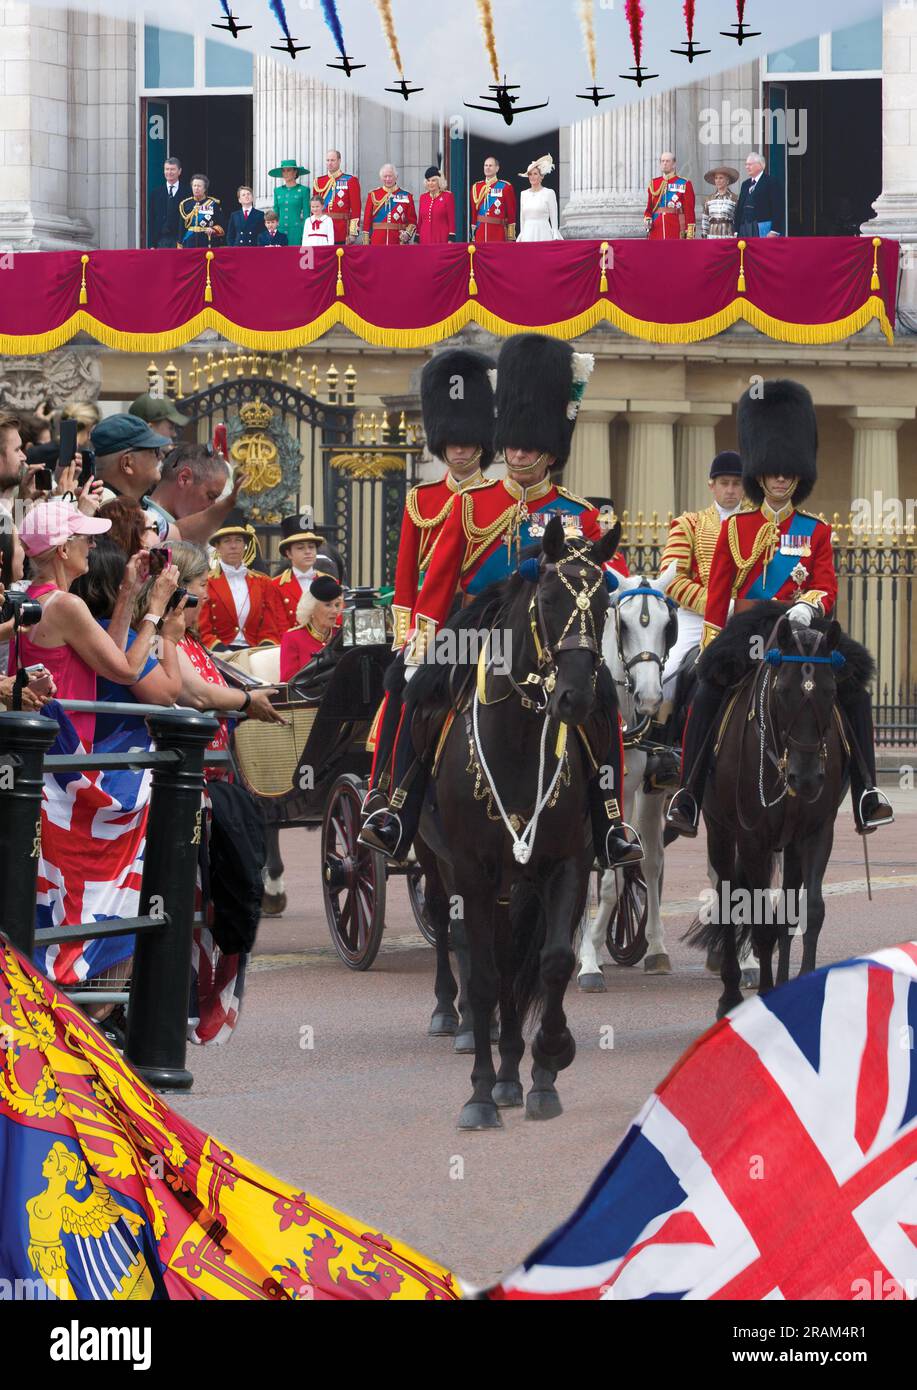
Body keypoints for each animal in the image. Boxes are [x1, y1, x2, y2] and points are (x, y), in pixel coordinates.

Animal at [405, 519, 616, 1128]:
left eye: (606, 604)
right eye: (547, 599)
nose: (575, 698)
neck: (520, 743)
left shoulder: (566, 863)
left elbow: (552, 963)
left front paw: (549, 1060)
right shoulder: (472, 872)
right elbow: (482, 978)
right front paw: (479, 1094)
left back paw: (514, 1071)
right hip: (437, 862)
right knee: (458, 938)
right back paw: (464, 1033)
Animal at [689, 614, 866, 1017]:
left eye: (830, 691)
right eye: (783, 691)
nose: (807, 778)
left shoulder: (816, 832)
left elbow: (809, 911)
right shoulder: (752, 838)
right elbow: (760, 922)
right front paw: (763, 996)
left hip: (789, 844)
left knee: (785, 909)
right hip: (720, 832)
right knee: (729, 900)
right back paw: (730, 996)